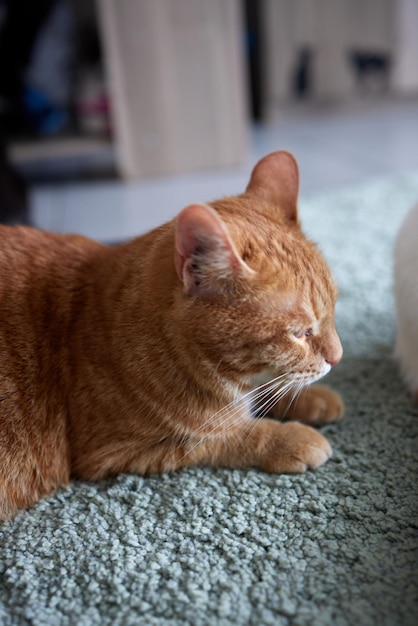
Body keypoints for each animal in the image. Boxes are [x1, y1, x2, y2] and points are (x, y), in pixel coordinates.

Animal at [0, 150, 342, 516]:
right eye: (300, 333)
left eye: (333, 310)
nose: (338, 358)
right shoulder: (119, 451)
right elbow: (227, 436)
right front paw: (288, 437)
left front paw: (314, 398)